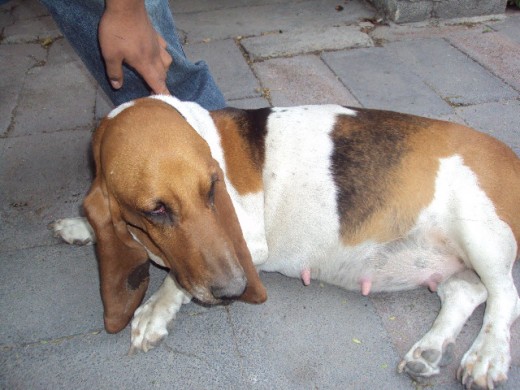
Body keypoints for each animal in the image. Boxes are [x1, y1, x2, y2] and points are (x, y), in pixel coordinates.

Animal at [52, 95, 520, 390]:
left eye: (211, 190)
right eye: (156, 210)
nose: (233, 292)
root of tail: (512, 155)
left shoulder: (246, 244)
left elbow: (178, 279)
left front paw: (154, 312)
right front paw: (79, 227)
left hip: (480, 232)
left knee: (503, 297)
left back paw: (486, 356)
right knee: (465, 293)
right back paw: (429, 350)